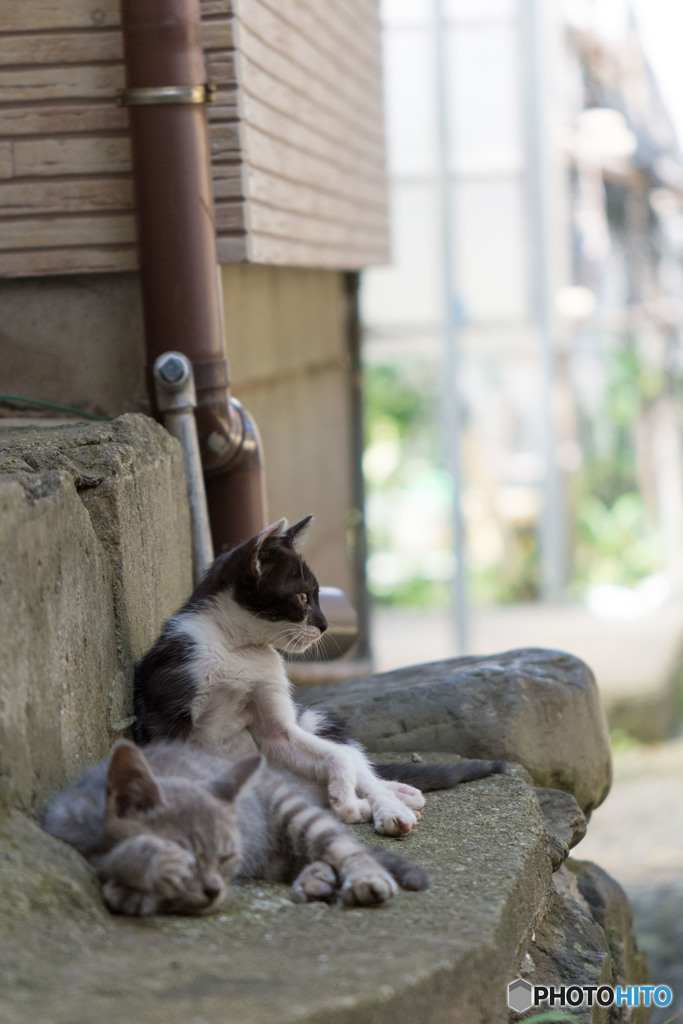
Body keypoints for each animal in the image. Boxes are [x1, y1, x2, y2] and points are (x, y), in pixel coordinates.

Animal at [42, 741, 428, 917]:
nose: (214, 889)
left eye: (225, 857)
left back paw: (362, 879)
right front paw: (150, 871)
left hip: (291, 810)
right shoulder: (64, 824)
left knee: (340, 847)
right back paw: (316, 878)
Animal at [135, 516, 501, 835]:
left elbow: (336, 756)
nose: (325, 624)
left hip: (313, 721)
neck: (237, 647)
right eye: (301, 596)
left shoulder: (277, 724)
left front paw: (346, 799)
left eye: (319, 597)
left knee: (358, 763)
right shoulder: (169, 701)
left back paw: (392, 803)